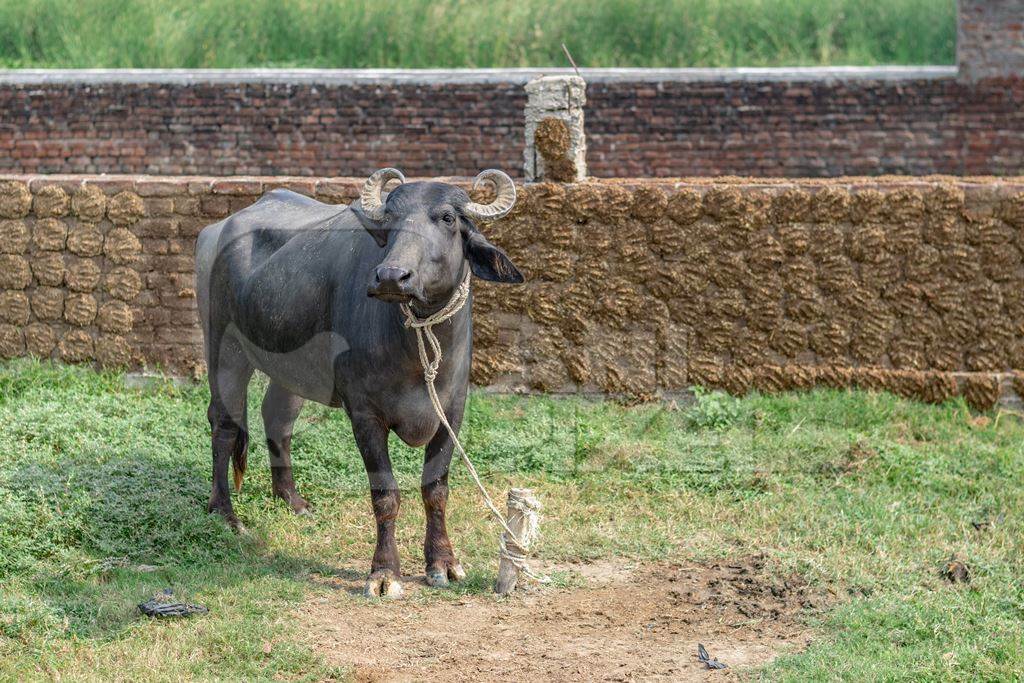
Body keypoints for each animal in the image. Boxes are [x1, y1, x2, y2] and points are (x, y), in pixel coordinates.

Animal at [195, 167, 524, 593]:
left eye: (448, 218)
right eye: (392, 220)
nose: (391, 277)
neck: (414, 341)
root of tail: (215, 231)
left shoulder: (452, 411)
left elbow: (435, 490)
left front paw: (443, 563)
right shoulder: (366, 415)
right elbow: (385, 494)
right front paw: (384, 573)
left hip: (292, 365)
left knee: (277, 418)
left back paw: (292, 501)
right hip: (225, 348)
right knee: (224, 424)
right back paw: (225, 513)